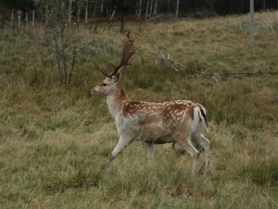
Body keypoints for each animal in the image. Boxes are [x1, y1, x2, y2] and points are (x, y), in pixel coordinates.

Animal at [90, 31, 211, 176]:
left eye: (104, 83)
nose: (92, 90)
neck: (120, 110)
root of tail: (198, 109)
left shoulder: (126, 134)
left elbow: (112, 155)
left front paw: (99, 172)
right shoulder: (149, 140)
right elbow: (151, 159)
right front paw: (151, 173)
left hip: (181, 134)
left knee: (195, 152)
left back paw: (192, 175)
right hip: (196, 132)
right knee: (207, 143)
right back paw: (208, 173)